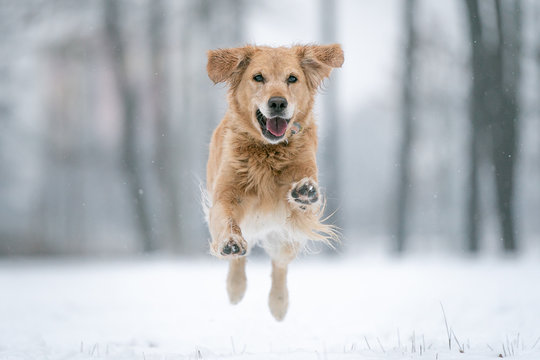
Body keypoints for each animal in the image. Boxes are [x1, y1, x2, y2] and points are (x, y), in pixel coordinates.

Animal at [205, 43, 344, 320]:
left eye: (292, 78)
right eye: (258, 77)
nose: (278, 102)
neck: (268, 151)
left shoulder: (302, 210)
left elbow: (304, 195)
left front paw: (304, 190)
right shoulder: (223, 196)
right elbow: (227, 221)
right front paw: (231, 242)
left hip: (284, 237)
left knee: (280, 265)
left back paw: (279, 303)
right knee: (240, 258)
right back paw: (235, 288)